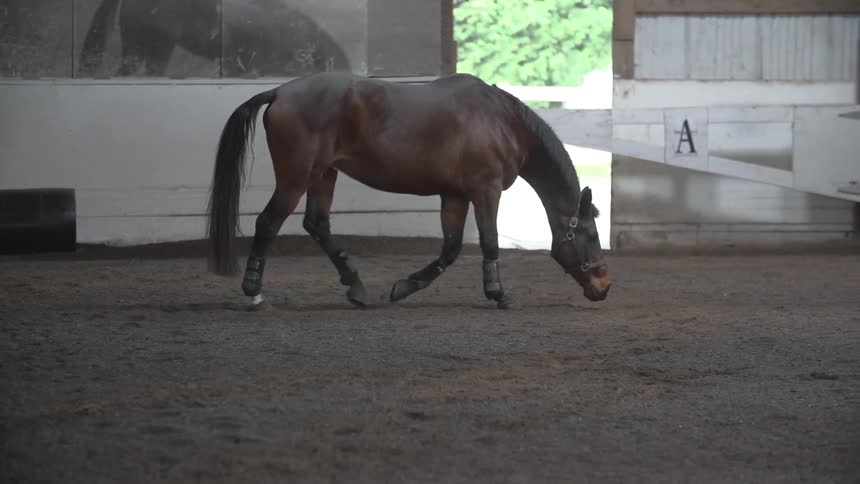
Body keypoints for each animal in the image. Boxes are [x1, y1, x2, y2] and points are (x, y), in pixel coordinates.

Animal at [206, 71, 611, 309]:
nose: (604, 285)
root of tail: (279, 92)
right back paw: (254, 290)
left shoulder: (454, 195)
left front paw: (405, 286)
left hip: (324, 175)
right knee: (267, 222)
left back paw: (356, 287)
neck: (502, 122)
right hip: (296, 178)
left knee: (317, 224)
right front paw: (498, 293)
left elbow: (450, 249)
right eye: (591, 235)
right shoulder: (486, 190)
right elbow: (489, 242)